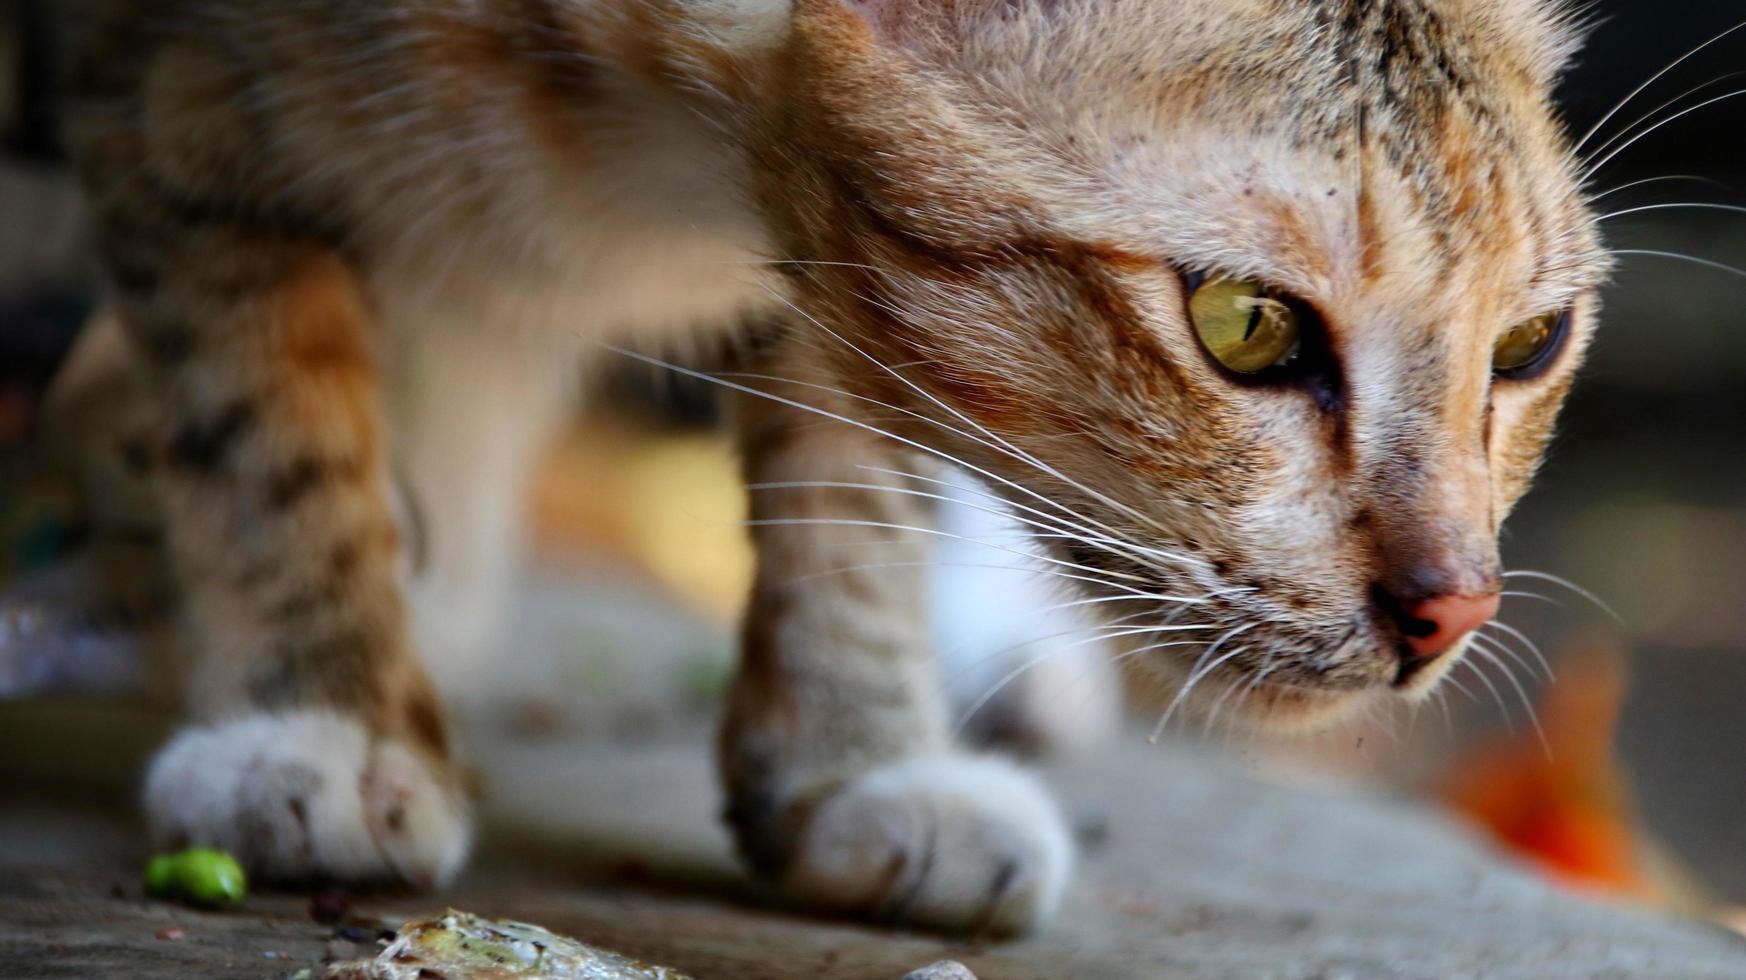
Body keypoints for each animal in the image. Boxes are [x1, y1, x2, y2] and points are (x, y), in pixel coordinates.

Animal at [54, 0, 1606, 929]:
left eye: (1529, 344)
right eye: (1246, 326)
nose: (1453, 608)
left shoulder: (842, 272)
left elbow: (859, 472)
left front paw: (856, 754)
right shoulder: (165, 97)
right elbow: (267, 436)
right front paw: (321, 714)